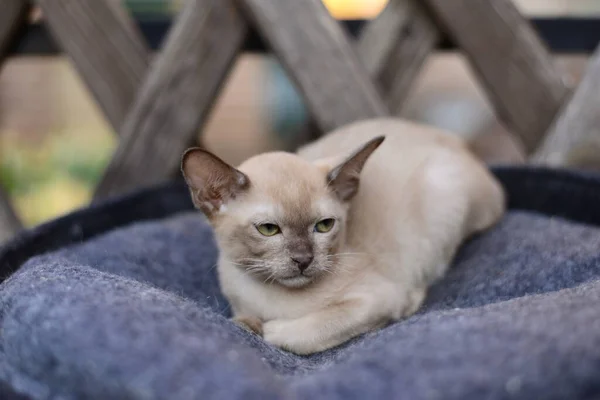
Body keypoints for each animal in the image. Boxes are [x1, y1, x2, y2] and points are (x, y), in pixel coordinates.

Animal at [180, 117, 504, 354]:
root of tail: (458, 141)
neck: (269, 297)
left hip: (443, 195)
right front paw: (249, 324)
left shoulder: (378, 298)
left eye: (324, 225)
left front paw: (269, 330)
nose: (303, 260)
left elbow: (308, 331)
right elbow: (240, 320)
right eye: (268, 229)